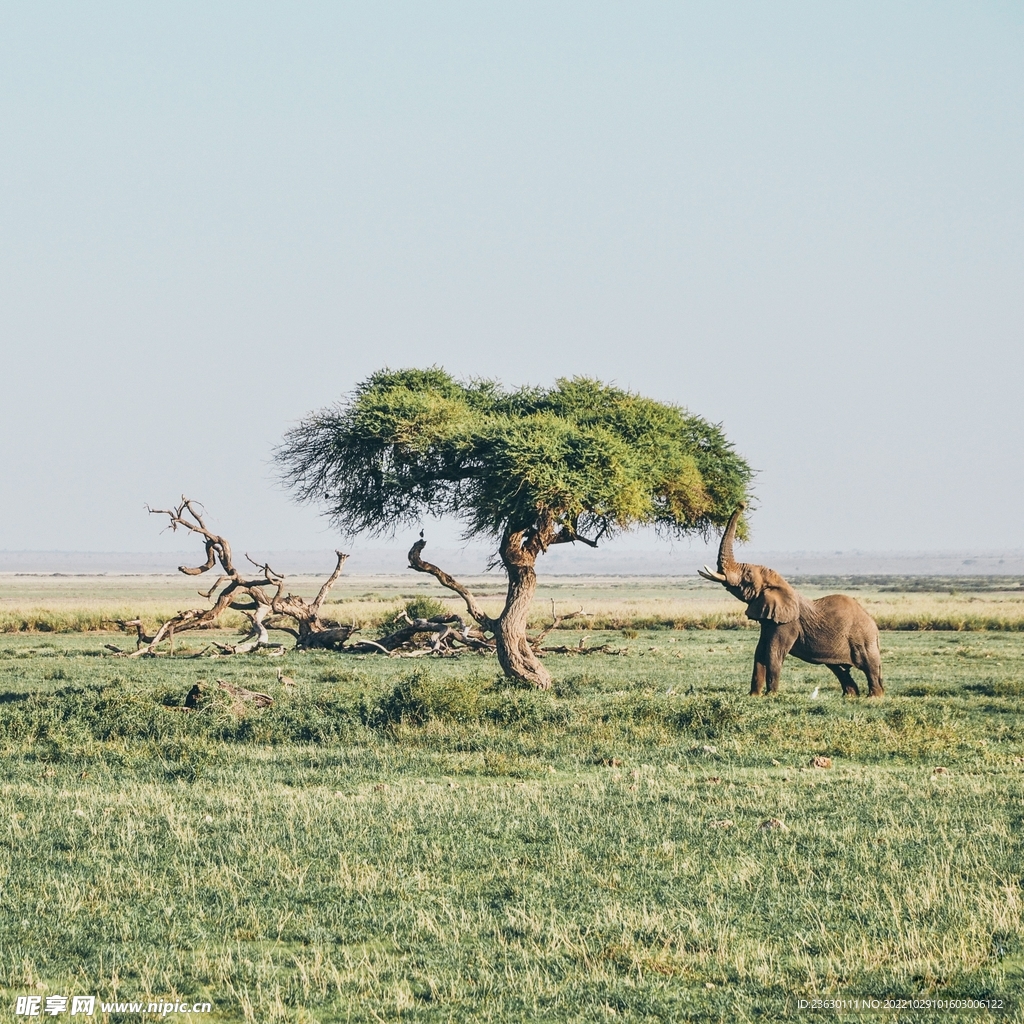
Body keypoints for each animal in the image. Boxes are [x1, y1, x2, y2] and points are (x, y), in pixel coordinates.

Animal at [700, 503, 884, 696]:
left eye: (748, 577)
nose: (741, 504)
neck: (781, 584)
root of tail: (873, 624)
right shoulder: (769, 619)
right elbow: (760, 651)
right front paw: (754, 696)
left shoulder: (787, 624)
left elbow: (773, 653)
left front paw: (771, 696)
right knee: (839, 668)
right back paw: (850, 697)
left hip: (863, 639)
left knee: (869, 666)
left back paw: (873, 698)